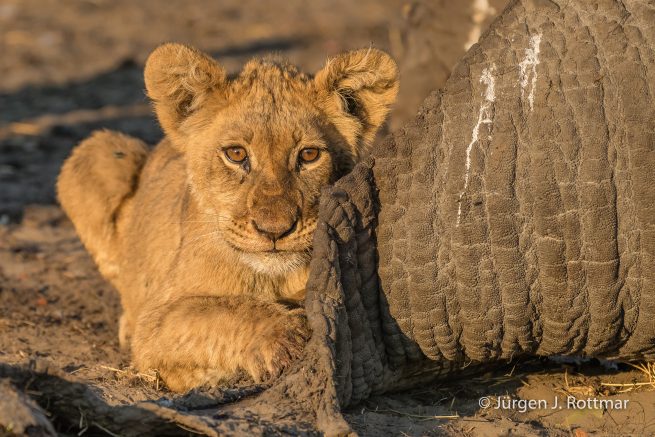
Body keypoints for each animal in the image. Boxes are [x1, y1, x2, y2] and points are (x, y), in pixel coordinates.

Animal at [56, 43, 398, 392]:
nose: (274, 231)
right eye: (236, 154)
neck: (271, 277)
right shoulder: (154, 321)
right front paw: (286, 338)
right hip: (97, 151)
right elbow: (221, 312)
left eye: (309, 155)